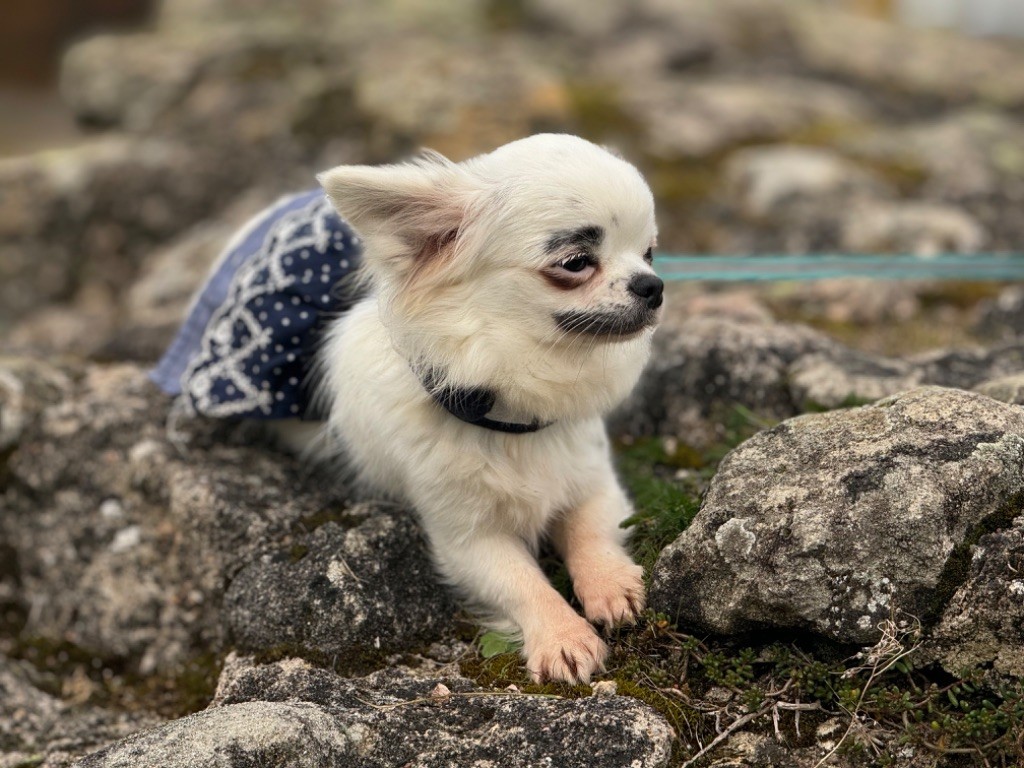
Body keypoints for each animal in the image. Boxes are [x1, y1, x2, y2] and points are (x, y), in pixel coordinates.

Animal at [309, 135, 663, 684]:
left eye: (649, 252)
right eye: (576, 262)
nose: (653, 285)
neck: (512, 414)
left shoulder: (591, 479)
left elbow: (591, 531)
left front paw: (611, 584)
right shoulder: (465, 539)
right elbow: (521, 581)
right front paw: (563, 637)